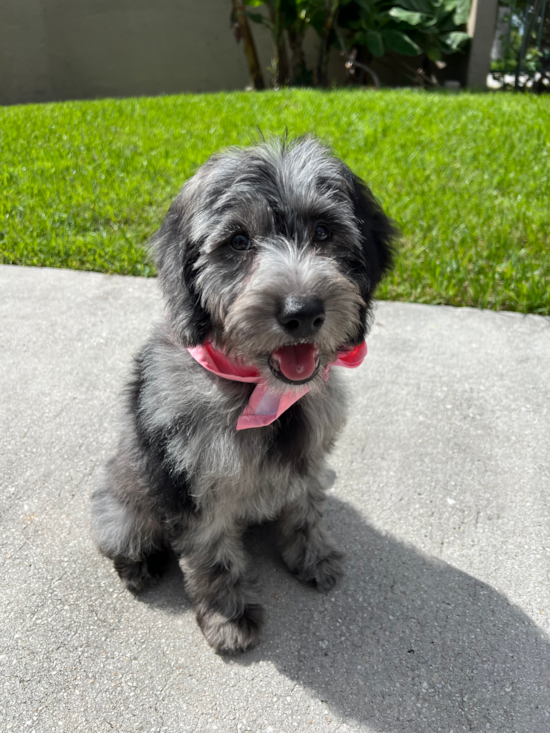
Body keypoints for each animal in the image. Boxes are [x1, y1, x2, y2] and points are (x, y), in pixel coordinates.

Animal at [94, 136, 396, 652]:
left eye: (323, 232)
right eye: (238, 241)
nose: (302, 311)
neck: (260, 390)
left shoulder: (310, 461)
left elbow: (305, 509)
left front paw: (312, 555)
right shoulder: (193, 486)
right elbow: (211, 554)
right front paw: (228, 616)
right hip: (126, 496)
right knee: (120, 531)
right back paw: (138, 565)